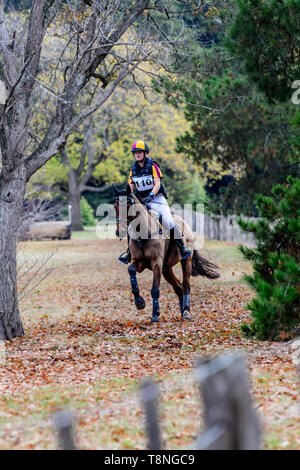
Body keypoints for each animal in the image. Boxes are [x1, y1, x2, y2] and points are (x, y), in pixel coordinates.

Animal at [113, 185, 220, 324]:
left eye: (128, 205)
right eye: (115, 206)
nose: (119, 232)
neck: (143, 232)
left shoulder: (156, 263)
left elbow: (155, 289)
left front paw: (155, 315)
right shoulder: (139, 262)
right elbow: (131, 270)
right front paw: (139, 302)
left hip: (185, 261)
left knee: (186, 286)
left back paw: (186, 312)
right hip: (166, 269)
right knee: (179, 288)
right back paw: (182, 311)